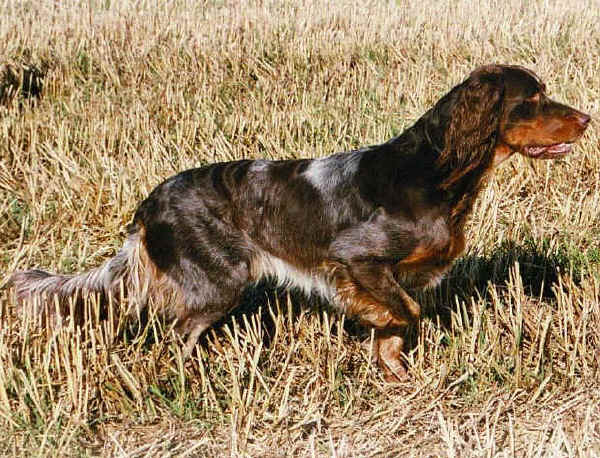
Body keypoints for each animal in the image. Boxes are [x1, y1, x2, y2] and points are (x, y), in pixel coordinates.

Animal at [10, 63, 592, 380]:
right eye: (533, 98)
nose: (588, 118)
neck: (438, 169)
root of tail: (148, 206)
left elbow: (403, 321)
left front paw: (394, 372)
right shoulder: (355, 256)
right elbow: (405, 312)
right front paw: (377, 331)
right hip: (218, 281)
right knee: (177, 334)